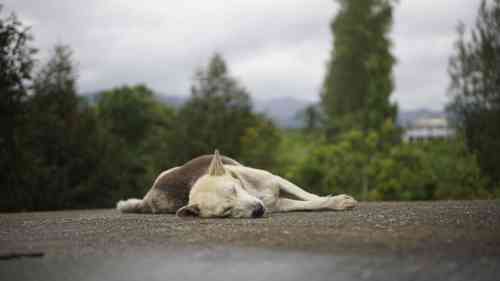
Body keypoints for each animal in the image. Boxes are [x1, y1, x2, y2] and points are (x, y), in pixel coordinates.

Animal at [115, 150, 358, 218]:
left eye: (234, 189)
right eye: (226, 211)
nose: (258, 210)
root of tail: (146, 199)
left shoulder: (277, 180)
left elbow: (308, 196)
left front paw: (332, 198)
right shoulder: (278, 205)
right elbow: (308, 203)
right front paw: (335, 202)